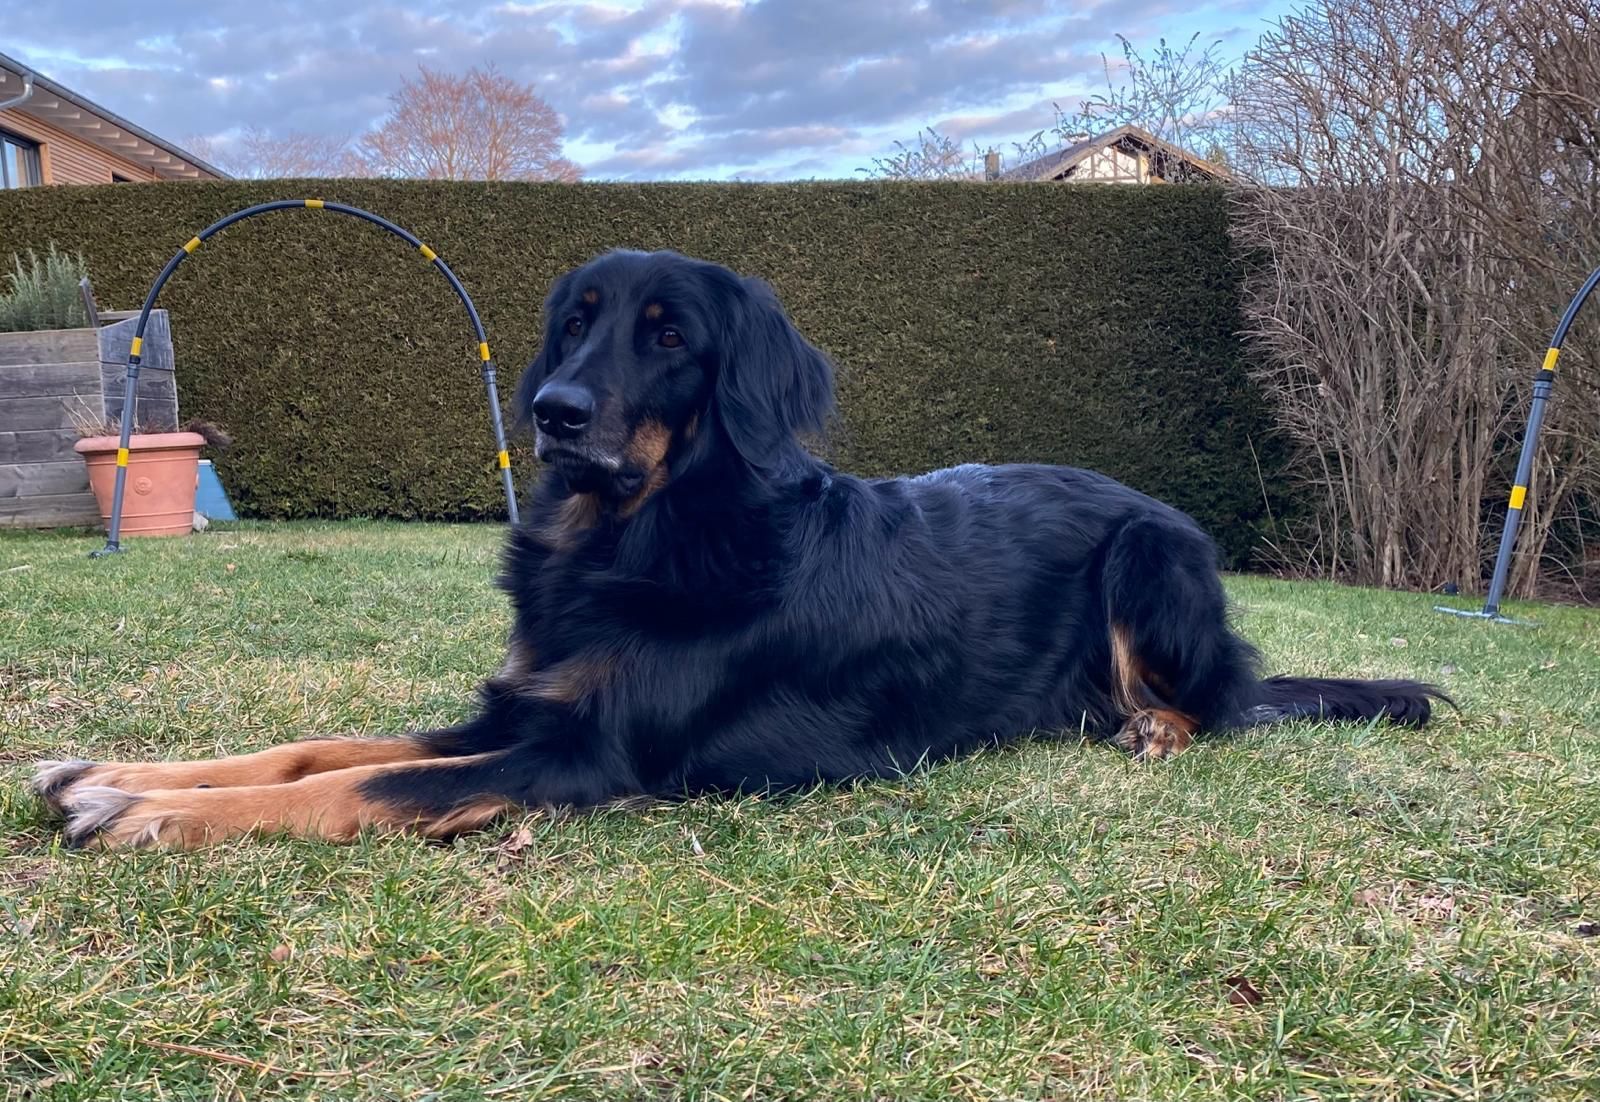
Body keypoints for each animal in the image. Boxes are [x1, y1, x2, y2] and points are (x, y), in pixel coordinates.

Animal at [33, 249, 1446, 850]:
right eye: (577, 321)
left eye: (669, 336)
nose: (554, 414)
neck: (638, 534)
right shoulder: (525, 704)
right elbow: (315, 747)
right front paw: (117, 775)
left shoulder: (585, 753)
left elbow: (363, 784)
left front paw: (153, 815)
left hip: (1149, 552)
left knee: (1225, 703)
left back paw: (1155, 724)